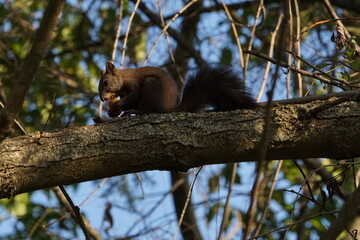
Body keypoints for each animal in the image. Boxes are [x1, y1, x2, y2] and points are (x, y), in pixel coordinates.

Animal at [97, 61, 258, 116]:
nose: (103, 99)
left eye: (106, 82)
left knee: (151, 109)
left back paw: (137, 111)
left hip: (151, 86)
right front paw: (113, 111)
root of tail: (168, 107)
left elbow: (133, 96)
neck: (123, 78)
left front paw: (119, 103)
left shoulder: (134, 85)